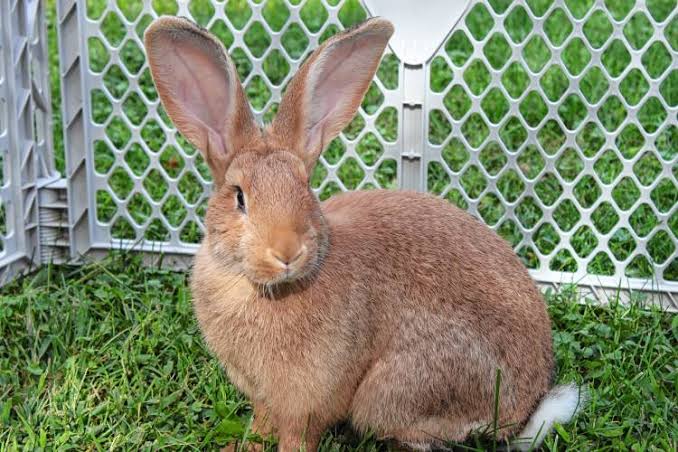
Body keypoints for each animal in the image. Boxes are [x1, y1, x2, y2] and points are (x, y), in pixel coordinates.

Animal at [144, 16, 586, 452]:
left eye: (306, 188)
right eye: (239, 197)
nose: (287, 251)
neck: (259, 287)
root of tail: (524, 409)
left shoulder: (311, 402)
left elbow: (297, 437)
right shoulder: (264, 397)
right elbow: (262, 425)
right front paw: (242, 446)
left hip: (393, 392)